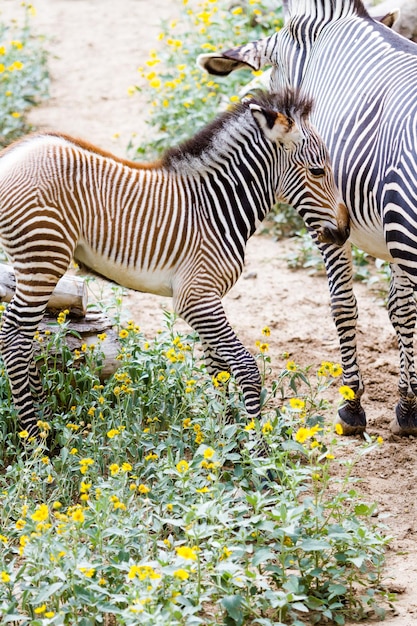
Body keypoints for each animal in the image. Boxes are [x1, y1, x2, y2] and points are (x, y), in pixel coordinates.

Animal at [0, 90, 348, 436]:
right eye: (318, 171)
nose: (344, 232)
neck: (216, 209)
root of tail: (12, 154)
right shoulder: (196, 297)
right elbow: (245, 366)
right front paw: (256, 446)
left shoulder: (207, 298)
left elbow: (218, 369)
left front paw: (225, 442)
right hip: (43, 258)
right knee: (14, 338)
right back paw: (33, 434)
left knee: (23, 336)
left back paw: (43, 419)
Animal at [197, 0, 416, 434]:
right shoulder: (389, 231)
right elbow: (399, 310)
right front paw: (407, 405)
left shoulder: (331, 221)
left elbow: (345, 304)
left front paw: (353, 405)